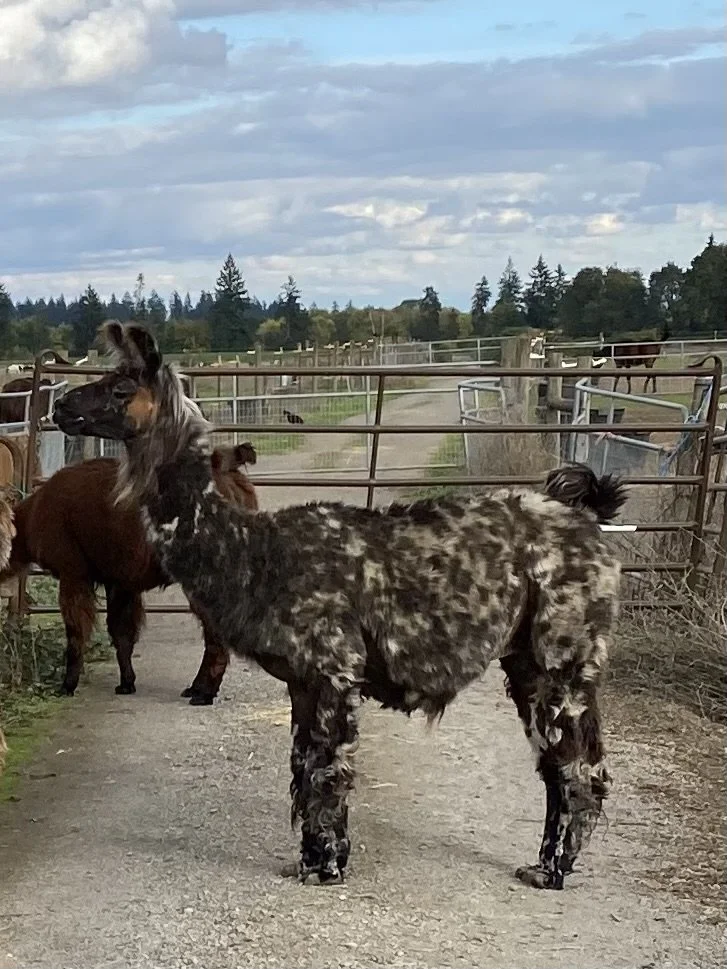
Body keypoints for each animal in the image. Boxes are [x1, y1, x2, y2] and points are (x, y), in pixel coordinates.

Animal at [0, 443, 258, 703]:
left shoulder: (73, 572)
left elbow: (76, 632)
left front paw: (67, 686)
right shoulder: (119, 580)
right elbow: (121, 633)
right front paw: (126, 683)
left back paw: (204, 693)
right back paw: (196, 689)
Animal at [54, 321, 626, 891]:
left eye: (120, 388)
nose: (60, 405)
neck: (253, 554)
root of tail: (585, 519)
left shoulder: (334, 668)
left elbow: (327, 771)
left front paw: (325, 868)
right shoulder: (301, 681)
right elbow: (302, 770)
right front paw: (311, 859)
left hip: (563, 657)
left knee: (578, 768)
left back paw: (551, 870)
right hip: (526, 658)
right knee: (561, 763)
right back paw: (545, 863)